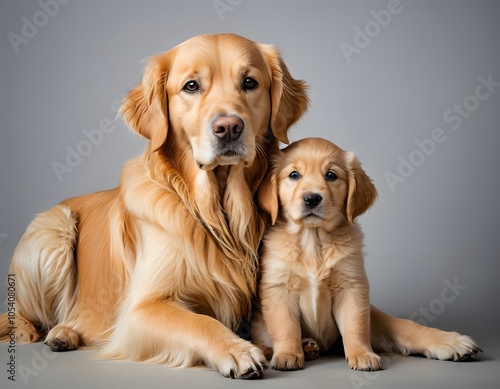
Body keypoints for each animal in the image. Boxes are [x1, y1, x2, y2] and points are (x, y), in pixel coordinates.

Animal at [0, 34, 308, 378]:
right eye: (191, 86)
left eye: (250, 82)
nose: (228, 127)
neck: (215, 213)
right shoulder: (140, 310)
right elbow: (200, 322)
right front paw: (238, 350)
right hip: (54, 227)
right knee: (27, 315)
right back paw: (55, 331)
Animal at [254, 136, 480, 370]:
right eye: (294, 175)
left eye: (331, 175)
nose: (312, 199)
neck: (313, 241)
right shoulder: (278, 287)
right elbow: (285, 326)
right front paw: (288, 354)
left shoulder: (353, 286)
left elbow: (355, 325)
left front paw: (362, 354)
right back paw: (304, 346)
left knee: (404, 325)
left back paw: (452, 342)